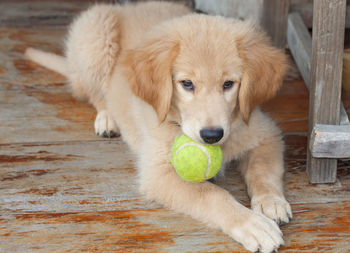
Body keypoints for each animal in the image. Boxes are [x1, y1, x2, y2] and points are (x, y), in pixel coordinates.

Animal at [25, 0, 292, 252]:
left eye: (228, 84)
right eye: (187, 84)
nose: (212, 135)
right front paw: (252, 223)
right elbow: (210, 194)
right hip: (94, 36)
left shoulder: (265, 132)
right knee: (95, 93)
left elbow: (262, 169)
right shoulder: (158, 173)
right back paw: (107, 117)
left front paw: (271, 201)